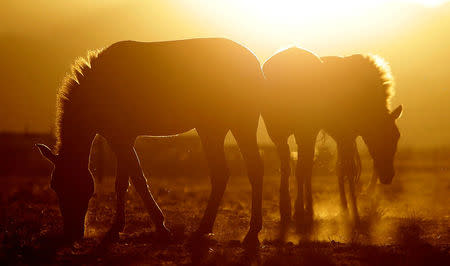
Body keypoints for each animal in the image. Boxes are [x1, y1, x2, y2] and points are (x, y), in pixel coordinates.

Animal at [37, 38, 264, 247]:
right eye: (54, 186)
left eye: (72, 185)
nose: (71, 234)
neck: (98, 89)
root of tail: (254, 63)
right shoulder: (123, 138)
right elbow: (122, 183)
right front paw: (116, 228)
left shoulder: (120, 139)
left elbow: (138, 180)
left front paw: (161, 228)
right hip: (226, 128)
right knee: (237, 172)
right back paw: (229, 231)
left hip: (224, 127)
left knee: (235, 172)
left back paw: (228, 231)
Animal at [262, 47, 402, 231]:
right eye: (382, 135)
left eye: (396, 137)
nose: (388, 176)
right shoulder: (344, 134)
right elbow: (347, 169)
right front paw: (354, 215)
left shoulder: (342, 136)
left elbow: (339, 168)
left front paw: (345, 208)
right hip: (302, 132)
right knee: (302, 167)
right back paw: (301, 210)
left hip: (284, 133)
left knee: (296, 166)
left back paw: (294, 209)